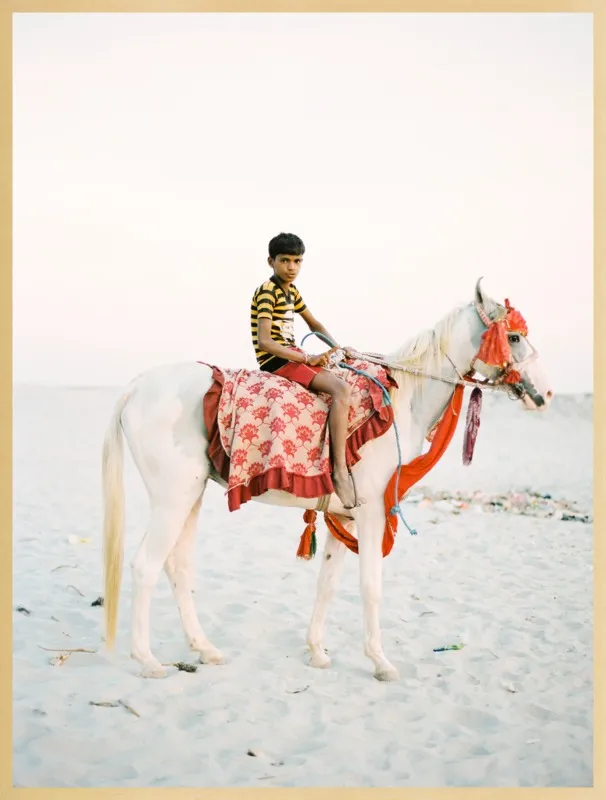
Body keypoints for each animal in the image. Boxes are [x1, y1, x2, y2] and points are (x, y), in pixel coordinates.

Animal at [101, 278, 553, 681]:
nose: (545, 394)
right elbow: (370, 586)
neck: (401, 400)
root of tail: (136, 388)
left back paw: (205, 649)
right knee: (145, 566)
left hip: (188, 497)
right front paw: (380, 662)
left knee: (177, 566)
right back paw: (147, 661)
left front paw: (317, 652)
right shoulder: (371, 515)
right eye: (513, 337)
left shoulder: (345, 517)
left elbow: (328, 584)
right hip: (174, 498)